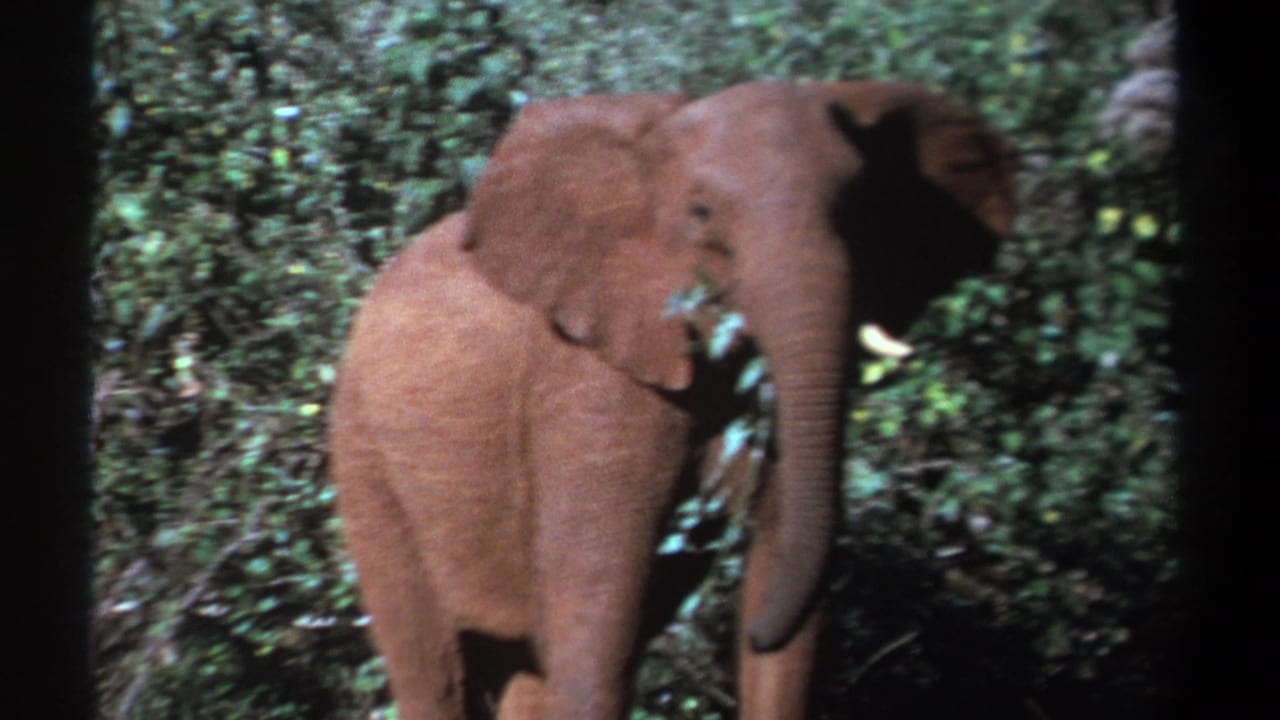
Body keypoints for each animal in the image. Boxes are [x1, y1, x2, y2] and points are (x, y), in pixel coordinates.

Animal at [328, 79, 1016, 719]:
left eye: (859, 208)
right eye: (703, 213)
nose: (751, 631)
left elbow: (788, 584)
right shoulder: (589, 380)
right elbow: (596, 630)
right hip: (364, 455)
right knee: (434, 667)